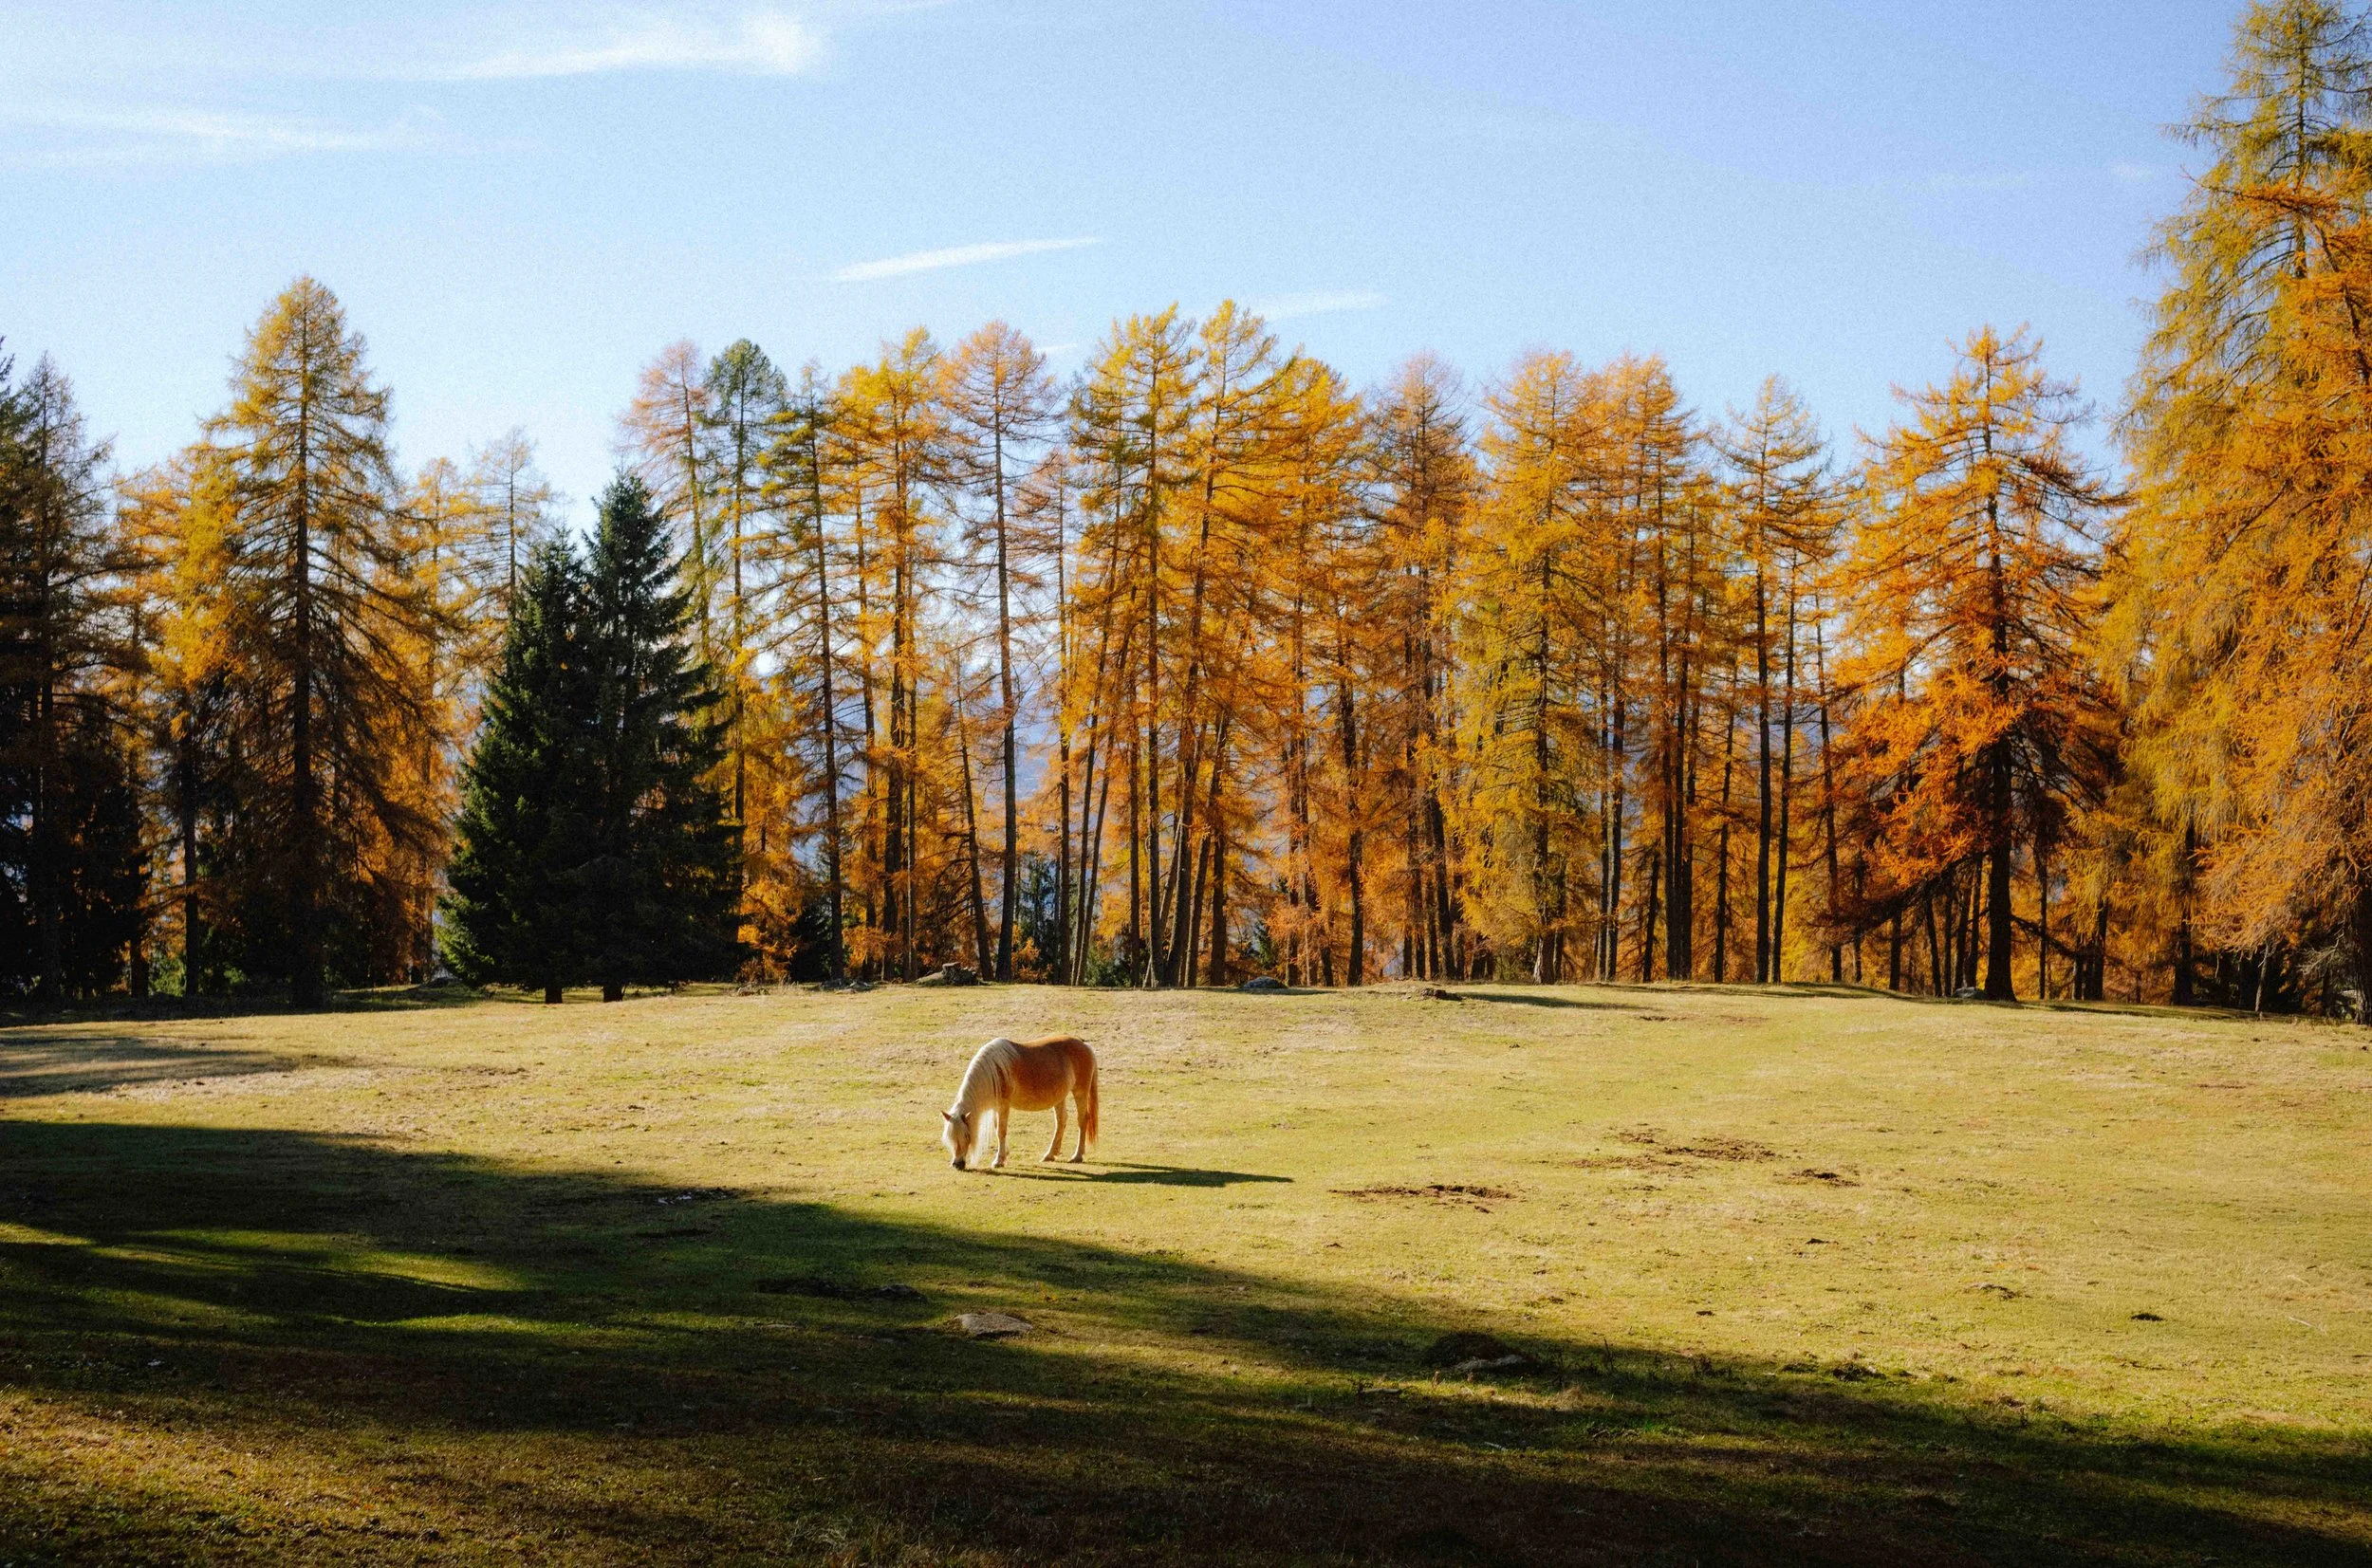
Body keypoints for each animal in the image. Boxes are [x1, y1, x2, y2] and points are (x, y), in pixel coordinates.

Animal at [942, 1035, 1098, 1170]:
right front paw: (1004, 1154)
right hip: (1060, 1098)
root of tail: (1084, 1045)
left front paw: (999, 1161)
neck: (995, 1071)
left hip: (1080, 1093)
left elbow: (1001, 1131)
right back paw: (1050, 1155)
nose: (957, 1164)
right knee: (1061, 1121)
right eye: (950, 1137)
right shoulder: (997, 1107)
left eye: (967, 1136)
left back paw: (1077, 1156)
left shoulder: (1004, 1105)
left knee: (1082, 1121)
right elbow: (998, 1128)